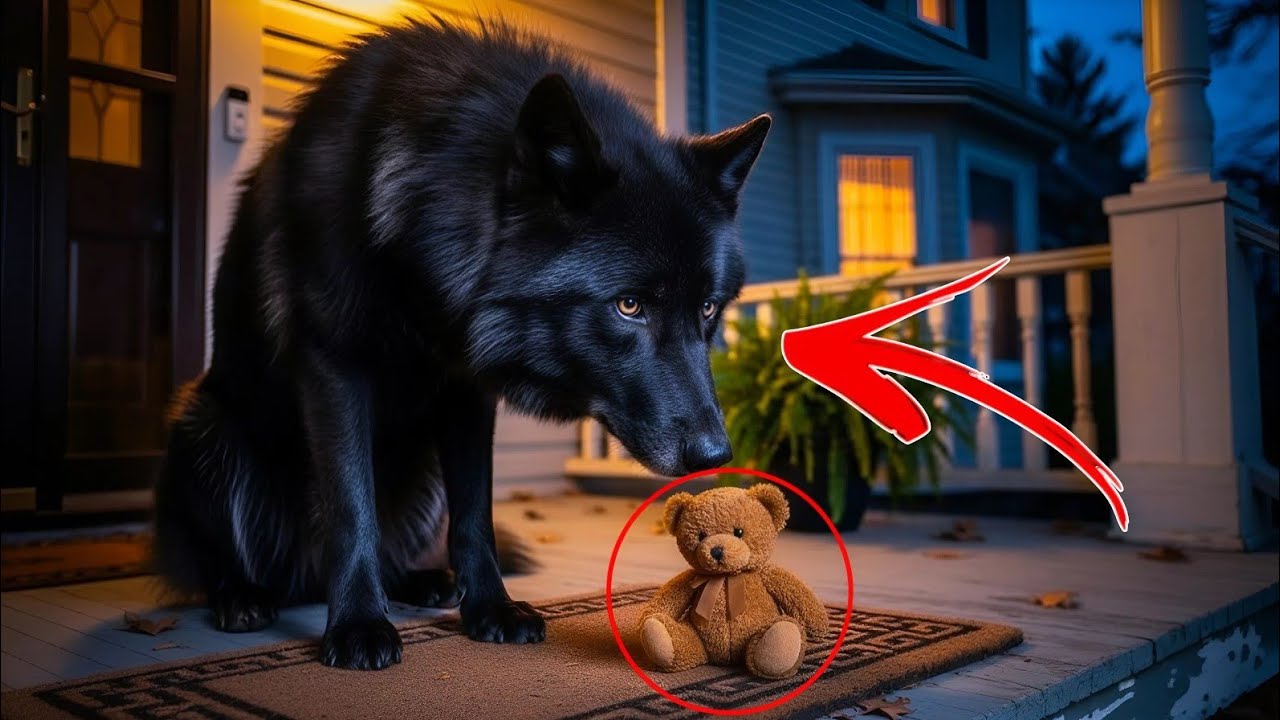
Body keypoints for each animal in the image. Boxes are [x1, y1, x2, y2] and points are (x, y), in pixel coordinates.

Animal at [154, 17, 770, 670]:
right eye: (629, 306)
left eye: (707, 308)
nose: (716, 456)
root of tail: (300, 581)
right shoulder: (333, 367)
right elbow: (350, 507)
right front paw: (358, 625)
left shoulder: (467, 389)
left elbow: (475, 513)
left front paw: (490, 610)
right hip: (202, 428)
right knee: (218, 559)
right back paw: (243, 596)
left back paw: (425, 582)